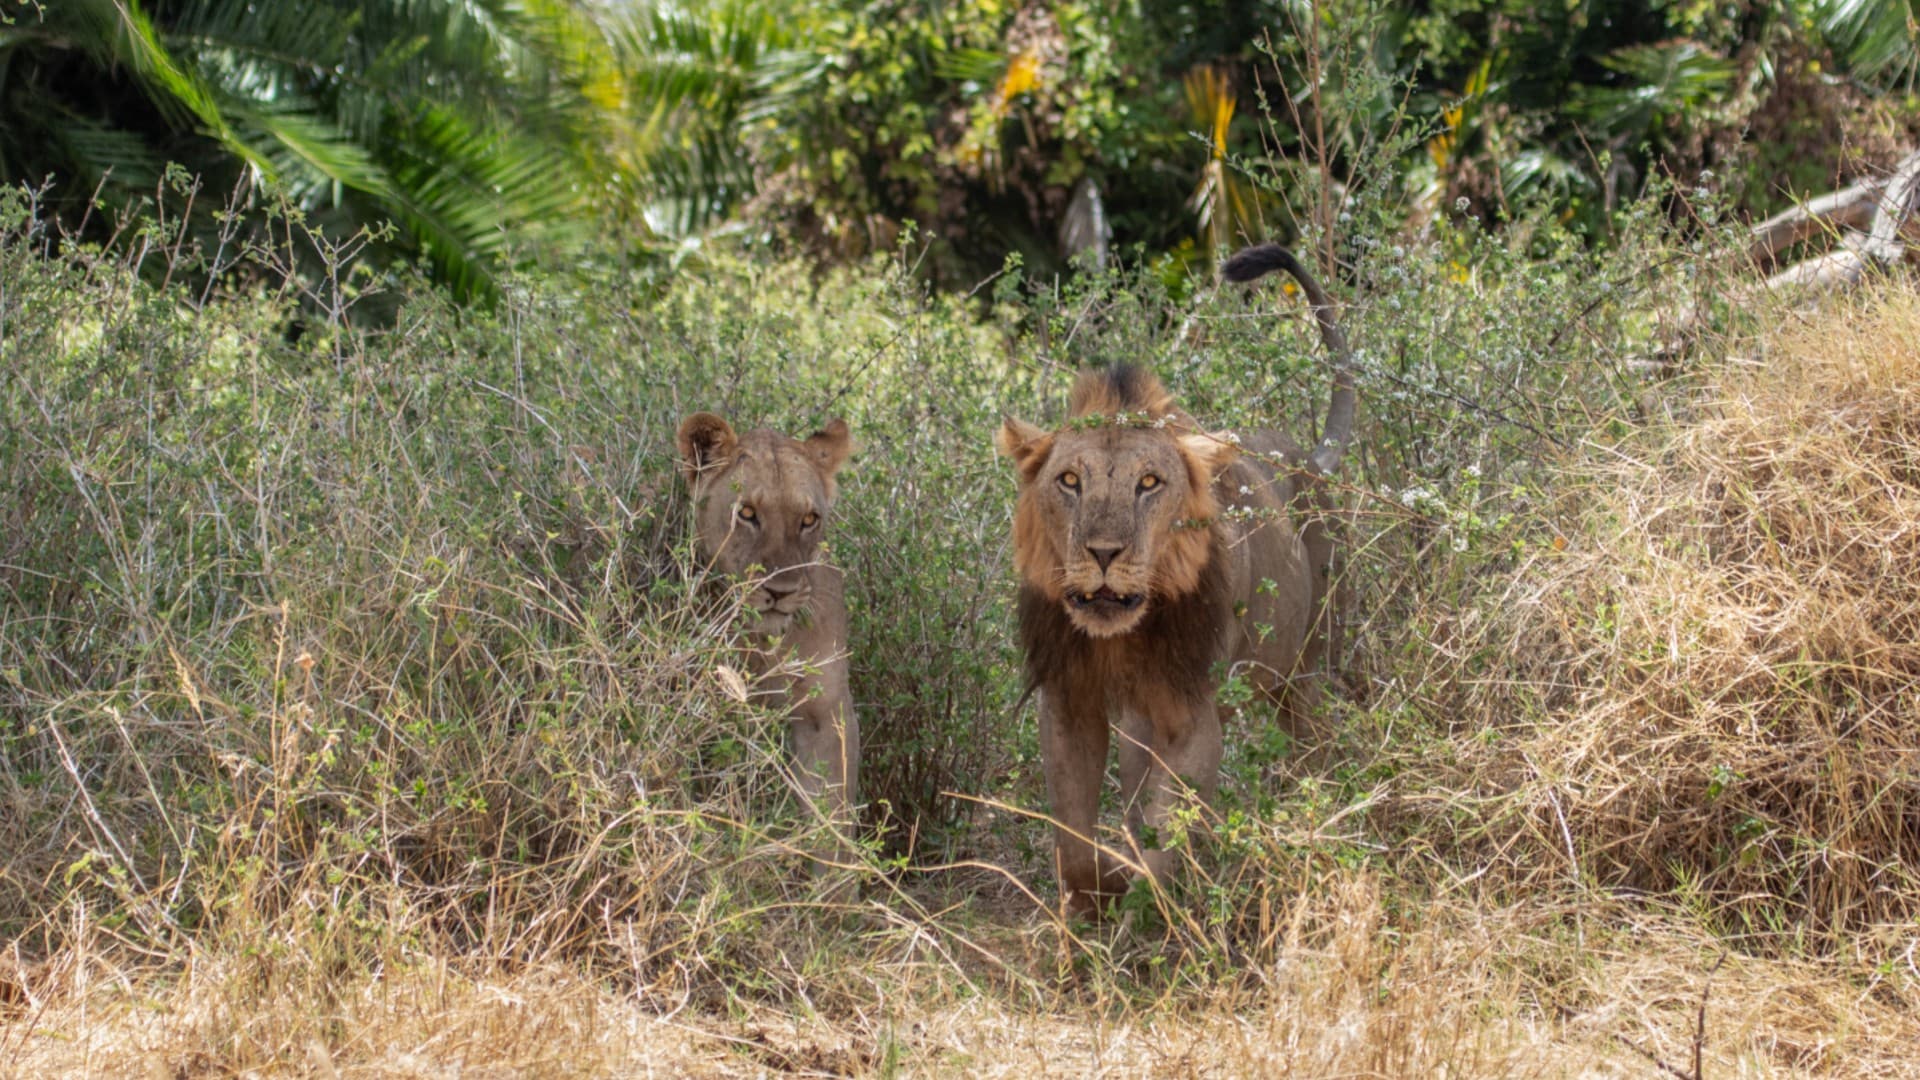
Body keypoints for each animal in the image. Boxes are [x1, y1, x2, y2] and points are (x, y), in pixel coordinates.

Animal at [675, 411, 860, 838]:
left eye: (809, 519)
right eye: (746, 513)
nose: (780, 592)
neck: (770, 643)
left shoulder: (827, 714)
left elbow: (830, 814)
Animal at [995, 243, 1355, 917]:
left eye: (1149, 483)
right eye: (1070, 481)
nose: (1103, 552)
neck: (1123, 637)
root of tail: (1304, 457)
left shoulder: (1194, 712)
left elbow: (1167, 837)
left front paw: (1149, 901)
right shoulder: (1068, 703)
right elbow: (1074, 843)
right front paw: (1101, 889)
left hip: (1306, 667)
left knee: (1314, 740)